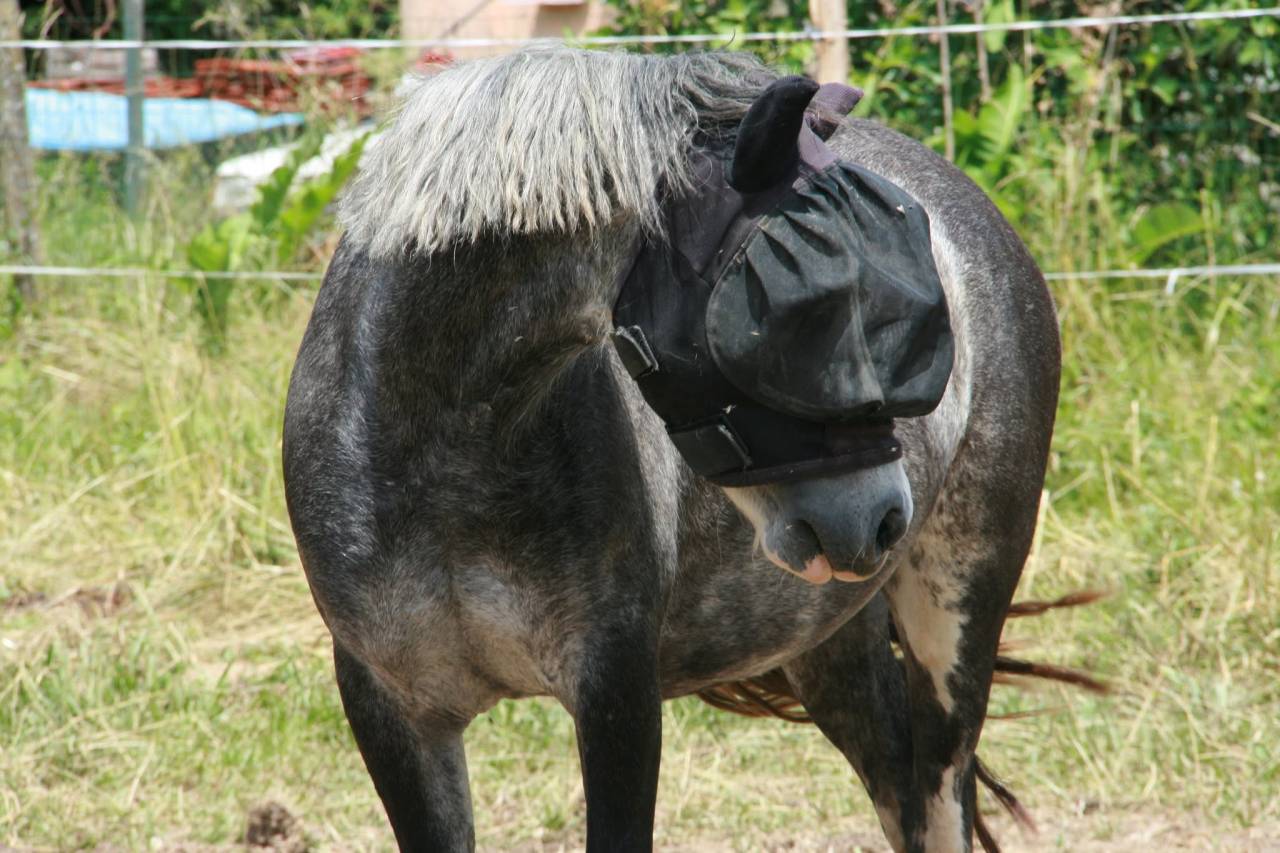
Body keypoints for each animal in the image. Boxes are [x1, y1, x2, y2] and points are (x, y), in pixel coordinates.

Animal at [283, 47, 1075, 852]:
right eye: (804, 312)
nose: (881, 519)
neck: (440, 447)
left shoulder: (617, 696)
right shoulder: (394, 710)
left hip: (954, 622)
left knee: (939, 791)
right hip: (829, 645)